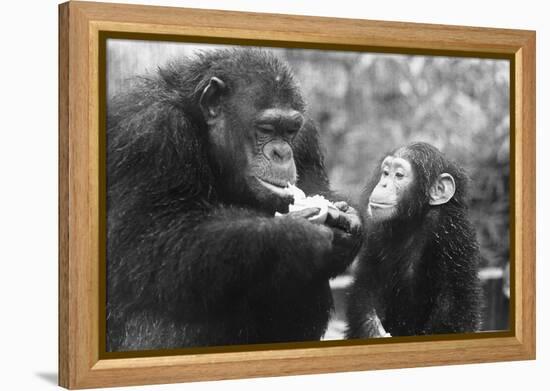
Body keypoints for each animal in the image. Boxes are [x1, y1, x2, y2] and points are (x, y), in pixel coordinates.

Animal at [106, 47, 362, 350]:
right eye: (266, 128)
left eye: (290, 130)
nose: (282, 152)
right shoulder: (150, 133)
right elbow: (150, 242)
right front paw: (295, 235)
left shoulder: (307, 135)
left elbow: (313, 188)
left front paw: (348, 225)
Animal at [350, 142, 484, 338]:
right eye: (386, 173)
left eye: (399, 175)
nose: (383, 184)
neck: (414, 221)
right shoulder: (376, 232)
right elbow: (365, 286)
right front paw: (373, 330)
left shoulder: (453, 236)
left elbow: (453, 305)